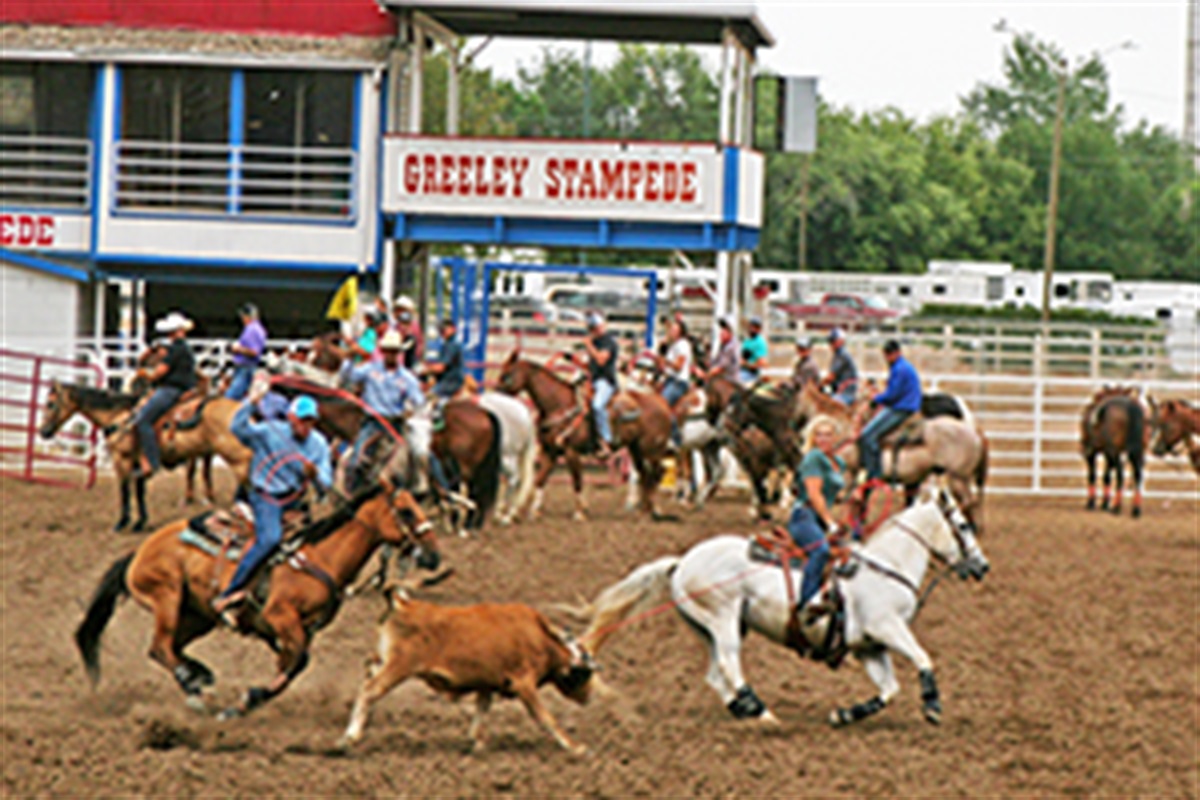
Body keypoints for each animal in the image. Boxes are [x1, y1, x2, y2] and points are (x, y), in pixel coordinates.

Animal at [39, 381, 252, 532]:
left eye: (51, 404)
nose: (43, 432)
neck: (119, 417)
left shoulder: (122, 459)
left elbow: (125, 489)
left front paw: (122, 523)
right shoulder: (137, 463)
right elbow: (140, 491)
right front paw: (140, 522)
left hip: (239, 459)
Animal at [71, 479, 436, 724]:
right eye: (405, 511)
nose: (433, 555)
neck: (319, 557)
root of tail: (139, 552)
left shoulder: (298, 630)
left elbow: (293, 666)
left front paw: (245, 703)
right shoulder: (281, 618)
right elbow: (297, 662)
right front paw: (249, 698)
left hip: (197, 615)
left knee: (167, 648)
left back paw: (200, 676)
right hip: (166, 597)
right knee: (161, 646)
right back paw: (195, 689)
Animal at [338, 592, 595, 753]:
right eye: (586, 673)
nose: (587, 699)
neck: (540, 638)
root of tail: (403, 604)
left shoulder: (488, 684)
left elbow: (482, 708)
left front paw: (476, 742)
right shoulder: (524, 683)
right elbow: (545, 717)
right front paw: (575, 747)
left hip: (383, 661)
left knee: (369, 671)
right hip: (399, 667)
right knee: (370, 690)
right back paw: (349, 738)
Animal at [492, 350, 672, 520]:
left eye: (507, 375)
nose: (495, 395)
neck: (560, 405)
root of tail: (661, 402)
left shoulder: (572, 452)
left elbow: (577, 481)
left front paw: (580, 512)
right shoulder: (550, 451)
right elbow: (540, 480)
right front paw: (534, 511)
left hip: (651, 450)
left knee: (657, 473)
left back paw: (653, 510)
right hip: (637, 450)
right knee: (645, 475)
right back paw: (643, 511)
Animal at [1084, 388, 1147, 520]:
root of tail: (1130, 406)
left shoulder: (1092, 454)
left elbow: (1093, 475)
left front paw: (1092, 503)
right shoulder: (1107, 453)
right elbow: (1106, 476)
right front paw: (1104, 503)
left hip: (1114, 452)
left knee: (1120, 475)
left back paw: (1116, 507)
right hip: (1135, 452)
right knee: (1137, 475)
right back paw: (1136, 509)